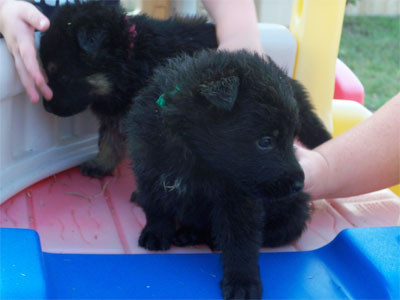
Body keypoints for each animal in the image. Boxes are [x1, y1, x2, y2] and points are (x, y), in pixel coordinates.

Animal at [39, 0, 217, 178]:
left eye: (64, 76)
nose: (47, 107)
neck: (130, 61)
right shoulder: (115, 109)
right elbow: (109, 138)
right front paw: (101, 163)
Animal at [125, 50, 332, 298]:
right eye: (265, 141)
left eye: (292, 138)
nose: (299, 184)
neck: (194, 153)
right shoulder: (149, 169)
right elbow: (156, 206)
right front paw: (156, 233)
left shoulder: (239, 200)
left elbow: (241, 242)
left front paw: (243, 282)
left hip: (294, 215)